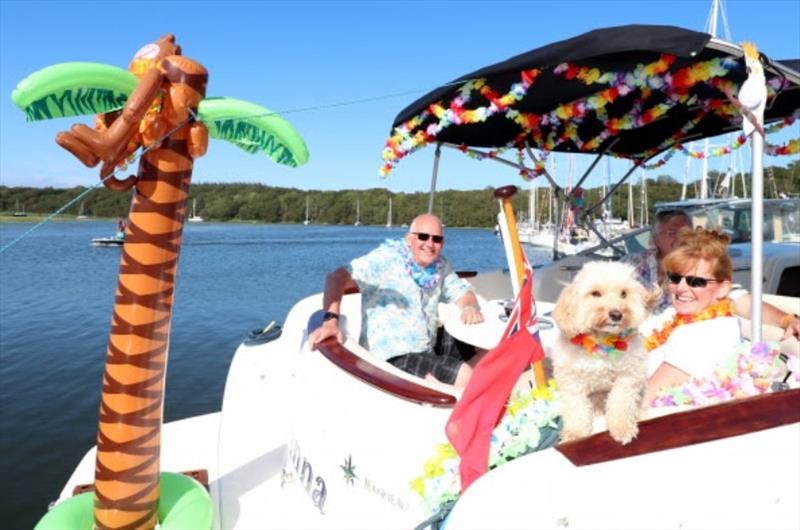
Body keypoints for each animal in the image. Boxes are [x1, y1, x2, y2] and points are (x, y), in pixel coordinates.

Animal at [552, 260, 660, 442]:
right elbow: (576, 409)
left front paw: (622, 428)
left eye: (624, 294)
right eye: (595, 293)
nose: (616, 314)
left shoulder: (628, 377)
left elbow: (620, 403)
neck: (602, 341)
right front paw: (575, 433)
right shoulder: (571, 382)